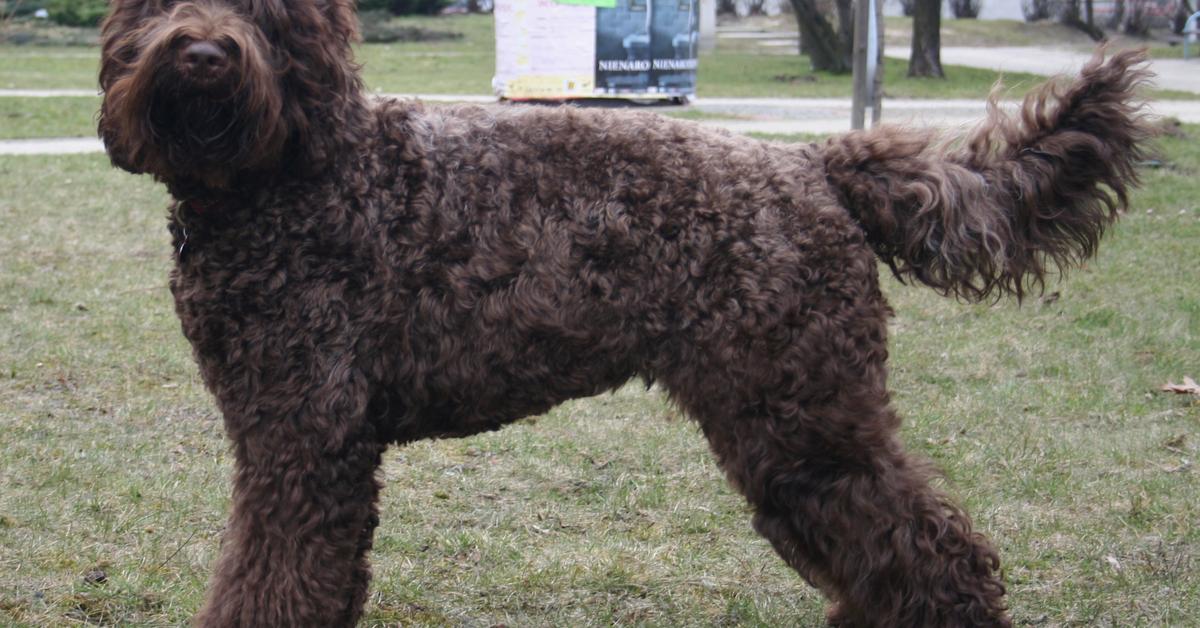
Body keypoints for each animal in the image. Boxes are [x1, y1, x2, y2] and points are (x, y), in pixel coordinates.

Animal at [98, 2, 1147, 624]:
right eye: (152, 9)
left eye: (267, 14)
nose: (203, 54)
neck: (285, 178)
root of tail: (814, 166)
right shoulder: (297, 438)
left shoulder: (304, 436)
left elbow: (272, 576)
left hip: (797, 414)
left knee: (929, 547)